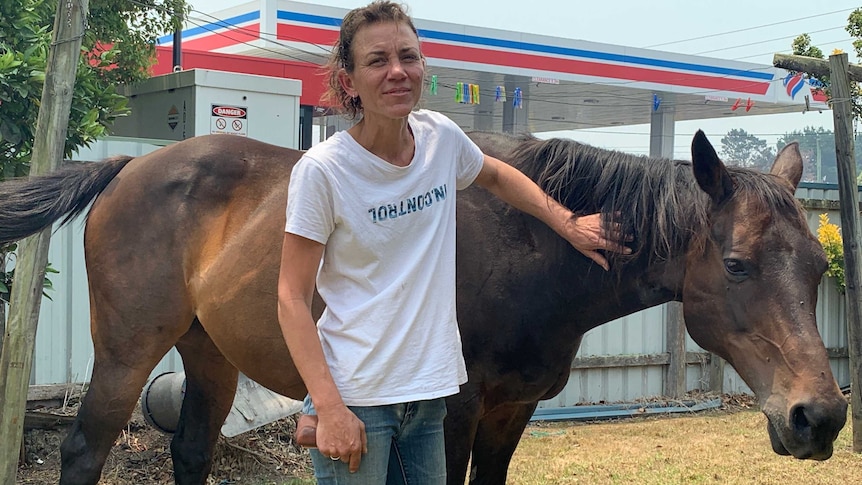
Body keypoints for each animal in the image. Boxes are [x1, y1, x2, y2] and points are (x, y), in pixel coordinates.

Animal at [0, 130, 852, 482]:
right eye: (737, 265)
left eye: (817, 267)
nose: (819, 416)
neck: (531, 247)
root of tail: (129, 166)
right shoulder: (453, 411)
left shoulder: (511, 413)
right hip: (125, 353)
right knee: (83, 452)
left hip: (210, 353)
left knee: (189, 453)